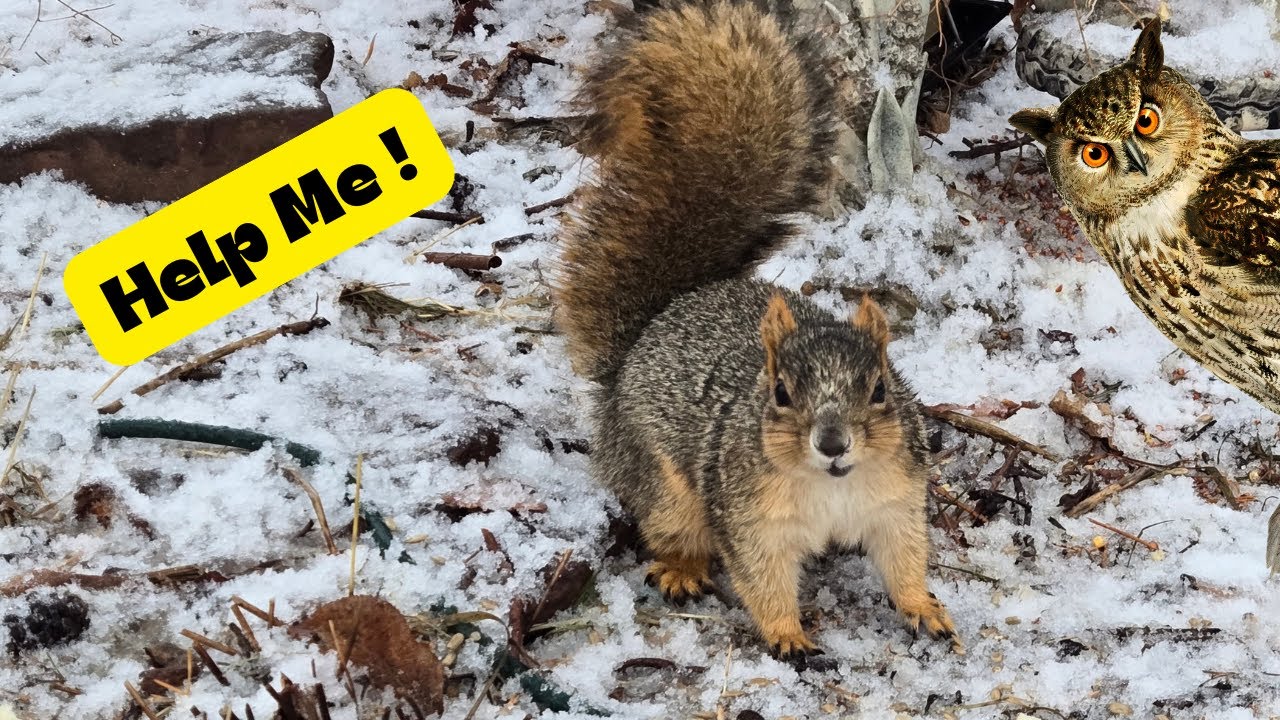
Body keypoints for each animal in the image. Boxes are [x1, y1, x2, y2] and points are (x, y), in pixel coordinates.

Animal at [553, 0, 956, 657]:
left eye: (880, 389)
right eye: (781, 393)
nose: (833, 443)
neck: (832, 488)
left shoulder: (897, 498)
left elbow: (904, 556)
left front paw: (923, 607)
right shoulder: (748, 519)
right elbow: (761, 579)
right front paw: (788, 635)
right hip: (663, 485)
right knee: (671, 529)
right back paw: (682, 570)